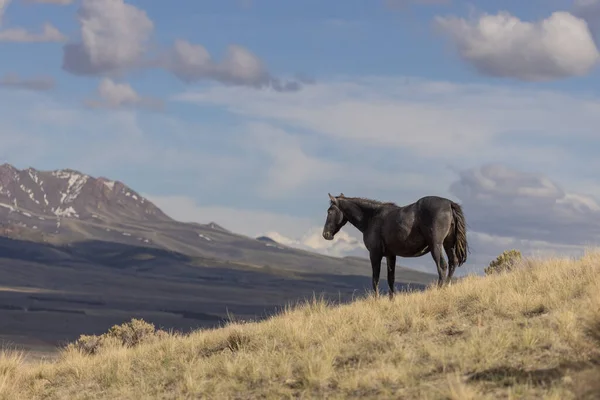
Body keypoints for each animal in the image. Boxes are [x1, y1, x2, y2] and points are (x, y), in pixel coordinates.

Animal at [324, 194, 468, 296]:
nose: (326, 234)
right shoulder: (390, 255)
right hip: (448, 244)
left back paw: (439, 289)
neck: (372, 217)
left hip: (436, 245)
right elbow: (390, 278)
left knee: (442, 266)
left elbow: (375, 279)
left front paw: (376, 300)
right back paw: (447, 286)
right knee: (452, 262)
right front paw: (391, 299)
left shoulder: (375, 254)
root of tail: (449, 204)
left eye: (330, 211)